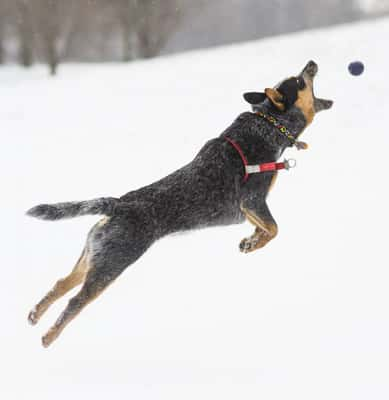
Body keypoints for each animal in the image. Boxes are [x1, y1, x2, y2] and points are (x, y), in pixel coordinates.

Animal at [26, 60, 330, 346]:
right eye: (299, 81)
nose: (311, 62)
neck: (269, 125)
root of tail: (116, 204)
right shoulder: (252, 201)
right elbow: (274, 228)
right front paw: (254, 243)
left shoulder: (250, 210)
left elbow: (263, 229)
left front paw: (249, 242)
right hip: (111, 264)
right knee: (74, 302)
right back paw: (48, 337)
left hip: (92, 257)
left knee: (61, 283)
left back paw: (34, 315)